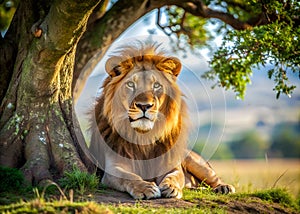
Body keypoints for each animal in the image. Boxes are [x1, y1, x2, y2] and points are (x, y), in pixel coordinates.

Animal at [89, 42, 234, 200]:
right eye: (131, 84)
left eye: (156, 85)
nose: (144, 106)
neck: (143, 136)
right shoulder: (114, 168)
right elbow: (130, 177)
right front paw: (146, 188)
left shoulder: (170, 164)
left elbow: (174, 176)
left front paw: (171, 187)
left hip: (194, 161)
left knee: (213, 178)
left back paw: (224, 187)